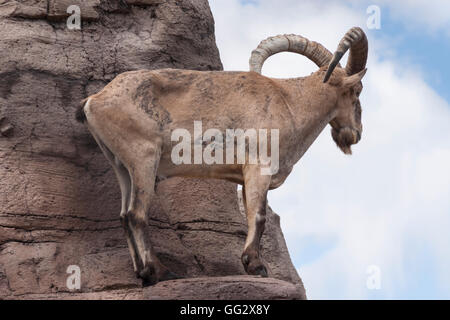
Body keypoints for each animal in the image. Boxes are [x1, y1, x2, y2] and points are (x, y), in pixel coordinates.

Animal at [75, 26, 368, 284]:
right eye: (357, 91)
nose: (356, 133)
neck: (289, 103)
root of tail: (94, 100)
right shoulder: (258, 168)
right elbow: (258, 217)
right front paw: (256, 266)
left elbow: (250, 215)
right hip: (143, 157)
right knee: (137, 213)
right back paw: (159, 272)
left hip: (121, 165)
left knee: (124, 215)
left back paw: (142, 273)